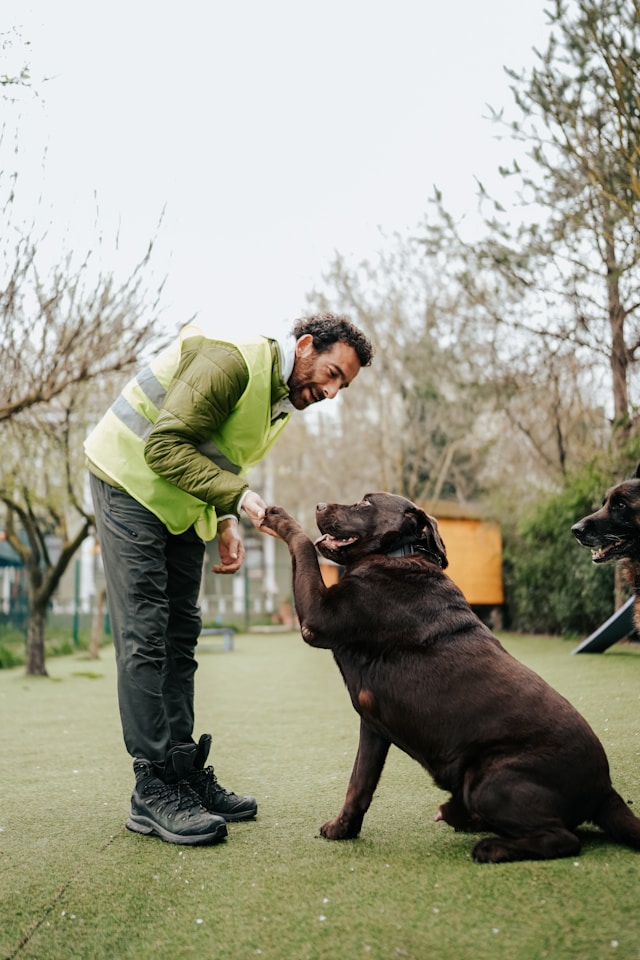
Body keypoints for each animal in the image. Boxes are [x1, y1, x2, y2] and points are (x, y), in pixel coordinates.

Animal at [262, 496, 640, 864]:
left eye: (365, 504)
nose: (319, 506)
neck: (396, 555)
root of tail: (605, 791)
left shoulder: (318, 617)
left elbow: (303, 545)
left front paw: (278, 517)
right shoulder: (373, 728)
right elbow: (359, 785)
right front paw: (343, 829)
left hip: (490, 778)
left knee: (564, 840)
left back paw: (490, 847)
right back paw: (461, 817)